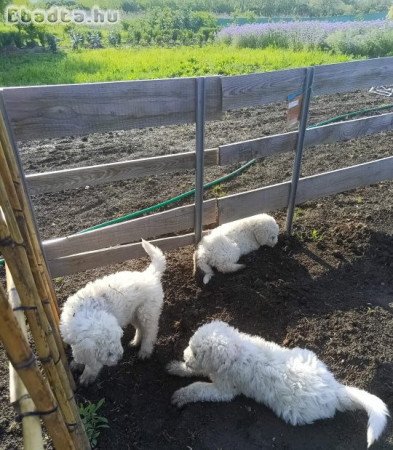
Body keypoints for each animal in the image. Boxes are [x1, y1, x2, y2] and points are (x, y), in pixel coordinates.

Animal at [59, 239, 165, 386]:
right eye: (109, 353)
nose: (120, 358)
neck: (83, 312)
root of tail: (149, 275)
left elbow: (93, 364)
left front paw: (86, 376)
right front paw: (77, 363)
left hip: (147, 312)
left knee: (150, 332)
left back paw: (145, 351)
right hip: (133, 313)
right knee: (140, 329)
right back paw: (135, 342)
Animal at [167, 320, 388, 446]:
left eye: (197, 352)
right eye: (190, 347)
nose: (186, 356)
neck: (235, 352)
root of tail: (335, 390)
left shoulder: (224, 390)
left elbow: (199, 388)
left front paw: (181, 394)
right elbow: (195, 372)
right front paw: (177, 366)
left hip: (296, 413)